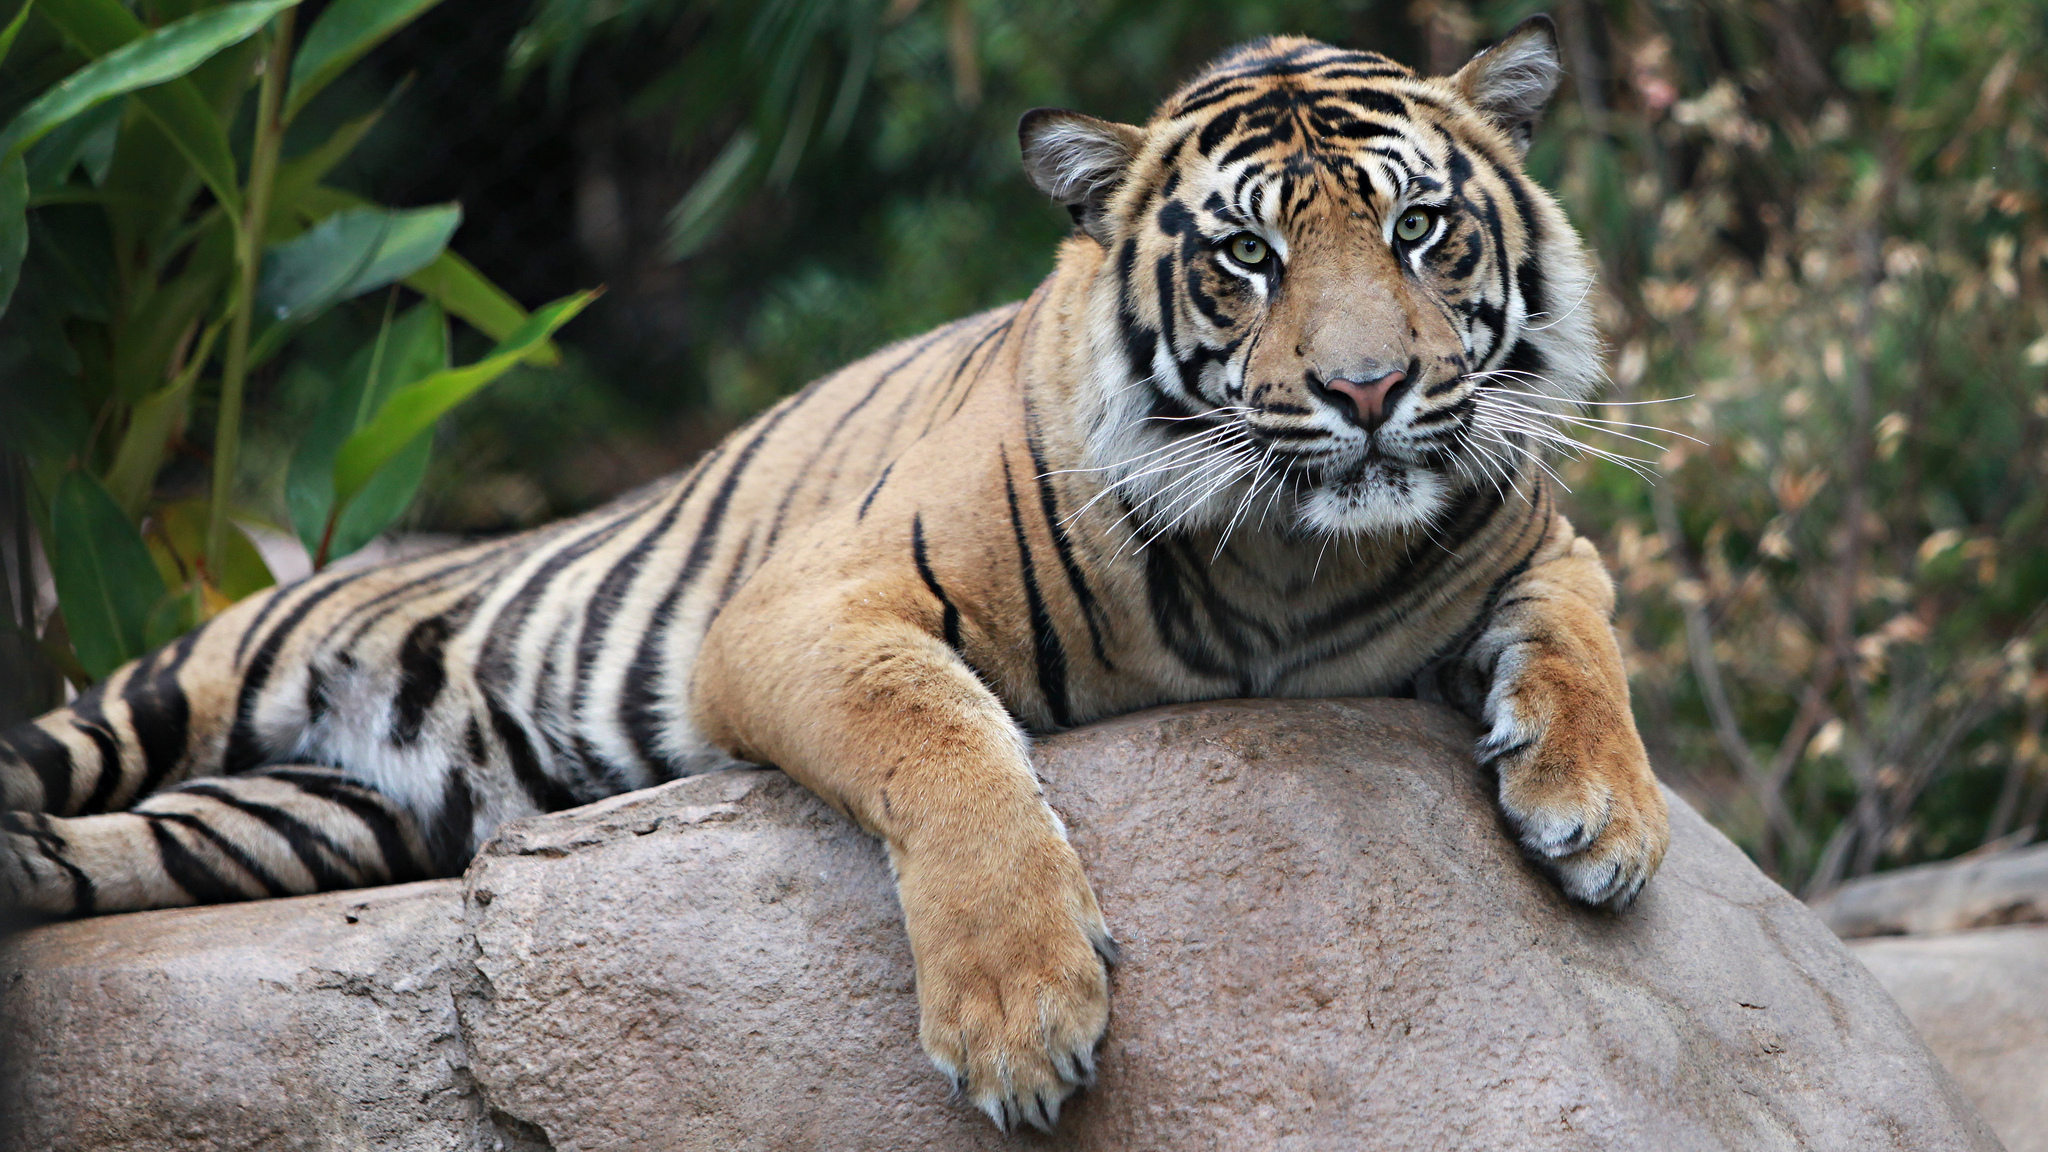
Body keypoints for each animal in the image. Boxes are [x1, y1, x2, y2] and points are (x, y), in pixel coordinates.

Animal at [0, 15, 1662, 1131]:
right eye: (1246, 259)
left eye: (1423, 228)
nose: (1369, 392)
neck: (1292, 564)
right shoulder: (801, 609)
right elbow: (943, 744)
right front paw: (1019, 1020)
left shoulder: (1536, 530)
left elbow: (1585, 624)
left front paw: (1603, 813)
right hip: (182, 685)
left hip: (296, 824)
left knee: (93, 859)